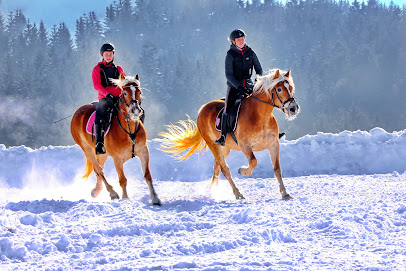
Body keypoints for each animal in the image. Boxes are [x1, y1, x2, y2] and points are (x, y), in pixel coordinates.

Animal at [70, 73, 160, 205]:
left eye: (140, 92)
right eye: (125, 93)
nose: (135, 110)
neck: (129, 130)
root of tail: (77, 112)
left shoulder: (144, 152)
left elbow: (148, 175)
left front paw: (155, 198)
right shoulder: (117, 159)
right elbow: (122, 180)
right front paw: (125, 198)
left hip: (103, 153)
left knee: (99, 169)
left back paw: (96, 190)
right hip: (87, 149)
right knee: (99, 170)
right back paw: (112, 193)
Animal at [160, 69, 300, 202]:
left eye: (291, 87)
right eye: (279, 89)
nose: (294, 108)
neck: (261, 116)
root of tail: (203, 109)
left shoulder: (274, 144)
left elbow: (277, 169)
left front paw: (285, 193)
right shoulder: (245, 145)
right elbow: (253, 161)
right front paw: (242, 170)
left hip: (225, 147)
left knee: (217, 166)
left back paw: (213, 191)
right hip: (213, 145)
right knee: (225, 168)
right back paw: (237, 194)